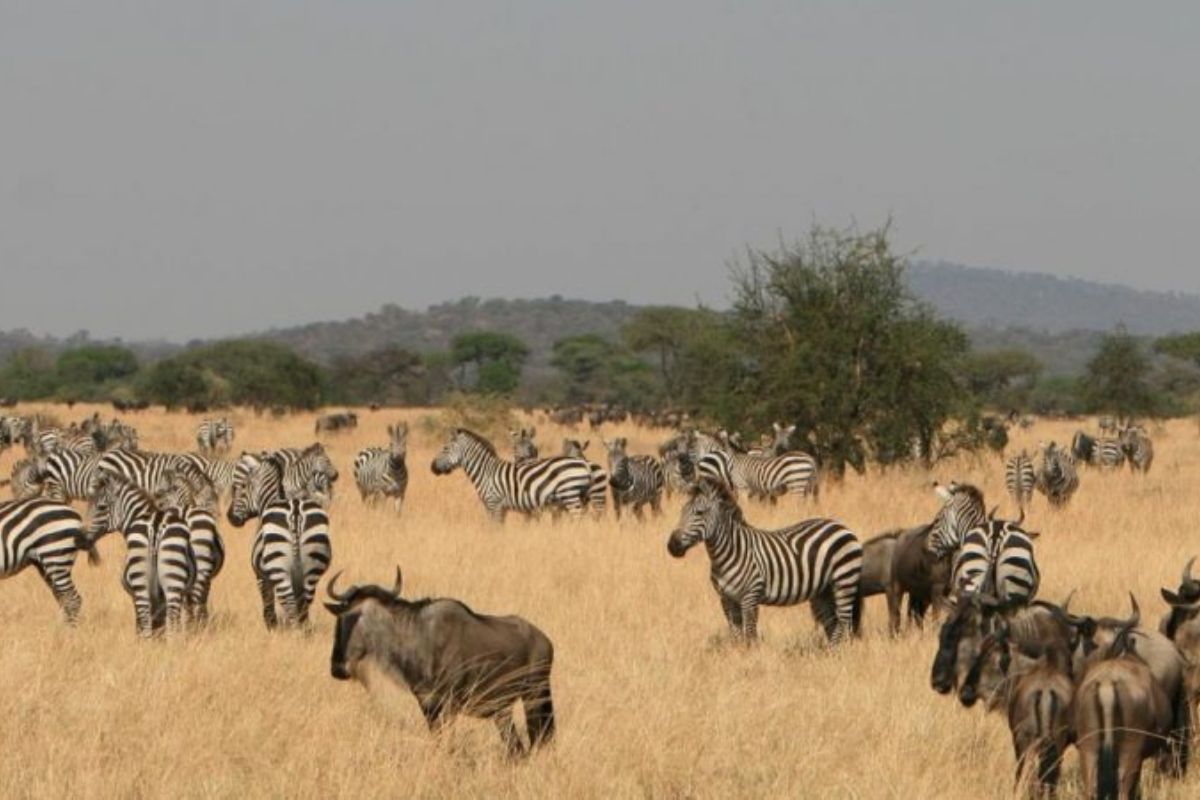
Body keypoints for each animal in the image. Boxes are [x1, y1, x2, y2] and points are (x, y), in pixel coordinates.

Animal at [87, 474, 195, 638]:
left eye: (101, 507)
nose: (84, 538)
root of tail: (156, 526)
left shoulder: (133, 594)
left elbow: (141, 626)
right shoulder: (162, 598)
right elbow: (160, 627)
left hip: (142, 585)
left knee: (146, 622)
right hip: (172, 586)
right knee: (169, 621)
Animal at [225, 453, 331, 628]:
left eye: (241, 486)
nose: (230, 517)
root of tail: (296, 510)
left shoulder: (261, 576)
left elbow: (268, 608)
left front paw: (272, 628)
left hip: (279, 568)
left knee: (290, 606)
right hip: (313, 566)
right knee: (304, 607)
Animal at [434, 429, 597, 522]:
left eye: (445, 448)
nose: (432, 467)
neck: (485, 472)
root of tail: (584, 465)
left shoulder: (494, 504)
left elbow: (495, 530)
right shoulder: (499, 508)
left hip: (570, 495)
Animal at [667, 482, 864, 642]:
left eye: (699, 513)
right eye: (681, 512)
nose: (672, 546)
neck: (729, 552)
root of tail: (840, 525)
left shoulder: (750, 596)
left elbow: (750, 634)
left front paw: (750, 658)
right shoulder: (726, 599)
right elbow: (736, 634)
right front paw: (738, 656)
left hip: (845, 580)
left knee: (843, 622)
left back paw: (837, 654)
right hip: (823, 589)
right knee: (832, 622)